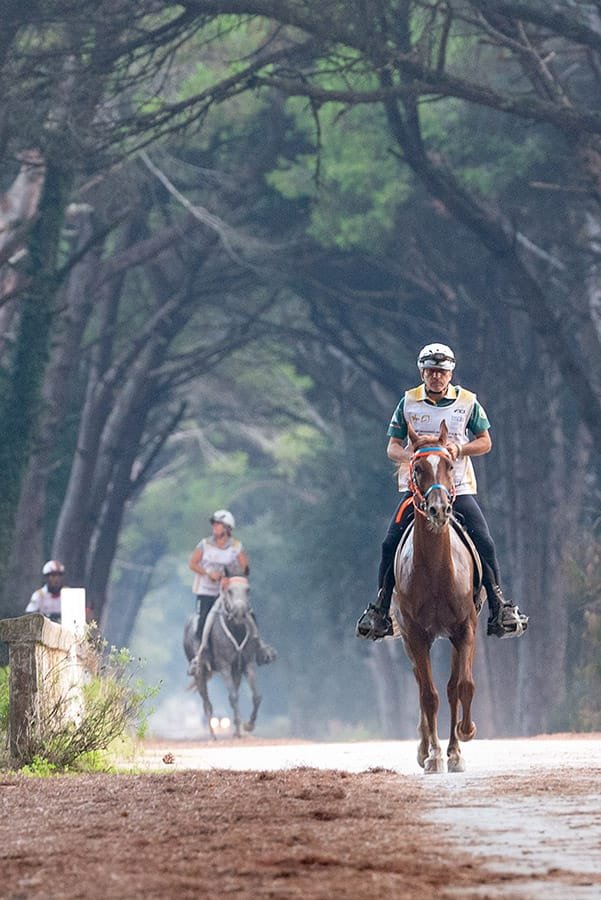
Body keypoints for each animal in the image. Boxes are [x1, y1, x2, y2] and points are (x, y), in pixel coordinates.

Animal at [183, 576, 262, 739]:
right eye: (229, 591)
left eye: (248, 590)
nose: (239, 612)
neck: (236, 630)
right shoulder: (224, 664)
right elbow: (233, 696)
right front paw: (239, 730)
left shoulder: (247, 664)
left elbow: (256, 696)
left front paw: (247, 726)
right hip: (199, 672)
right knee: (207, 704)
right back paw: (213, 737)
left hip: (235, 670)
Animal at [392, 419, 482, 774]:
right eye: (418, 469)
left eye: (449, 464)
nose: (439, 509)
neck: (435, 572)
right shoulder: (416, 634)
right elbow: (428, 695)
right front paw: (432, 756)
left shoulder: (465, 629)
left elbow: (461, 686)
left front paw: (463, 738)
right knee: (422, 687)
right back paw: (426, 749)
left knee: (452, 686)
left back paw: (454, 749)